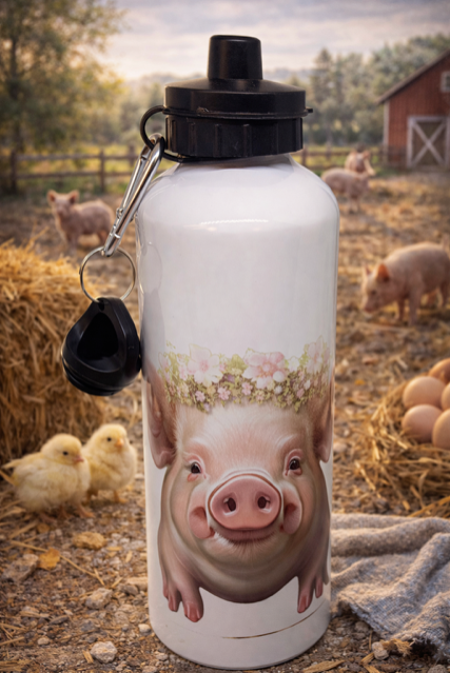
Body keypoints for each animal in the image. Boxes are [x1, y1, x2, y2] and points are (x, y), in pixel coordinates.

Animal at [146, 365, 333, 622]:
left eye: (294, 463)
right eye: (194, 468)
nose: (246, 484)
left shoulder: (323, 525)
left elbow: (314, 566)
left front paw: (305, 604)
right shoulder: (164, 537)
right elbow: (180, 577)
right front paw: (190, 614)